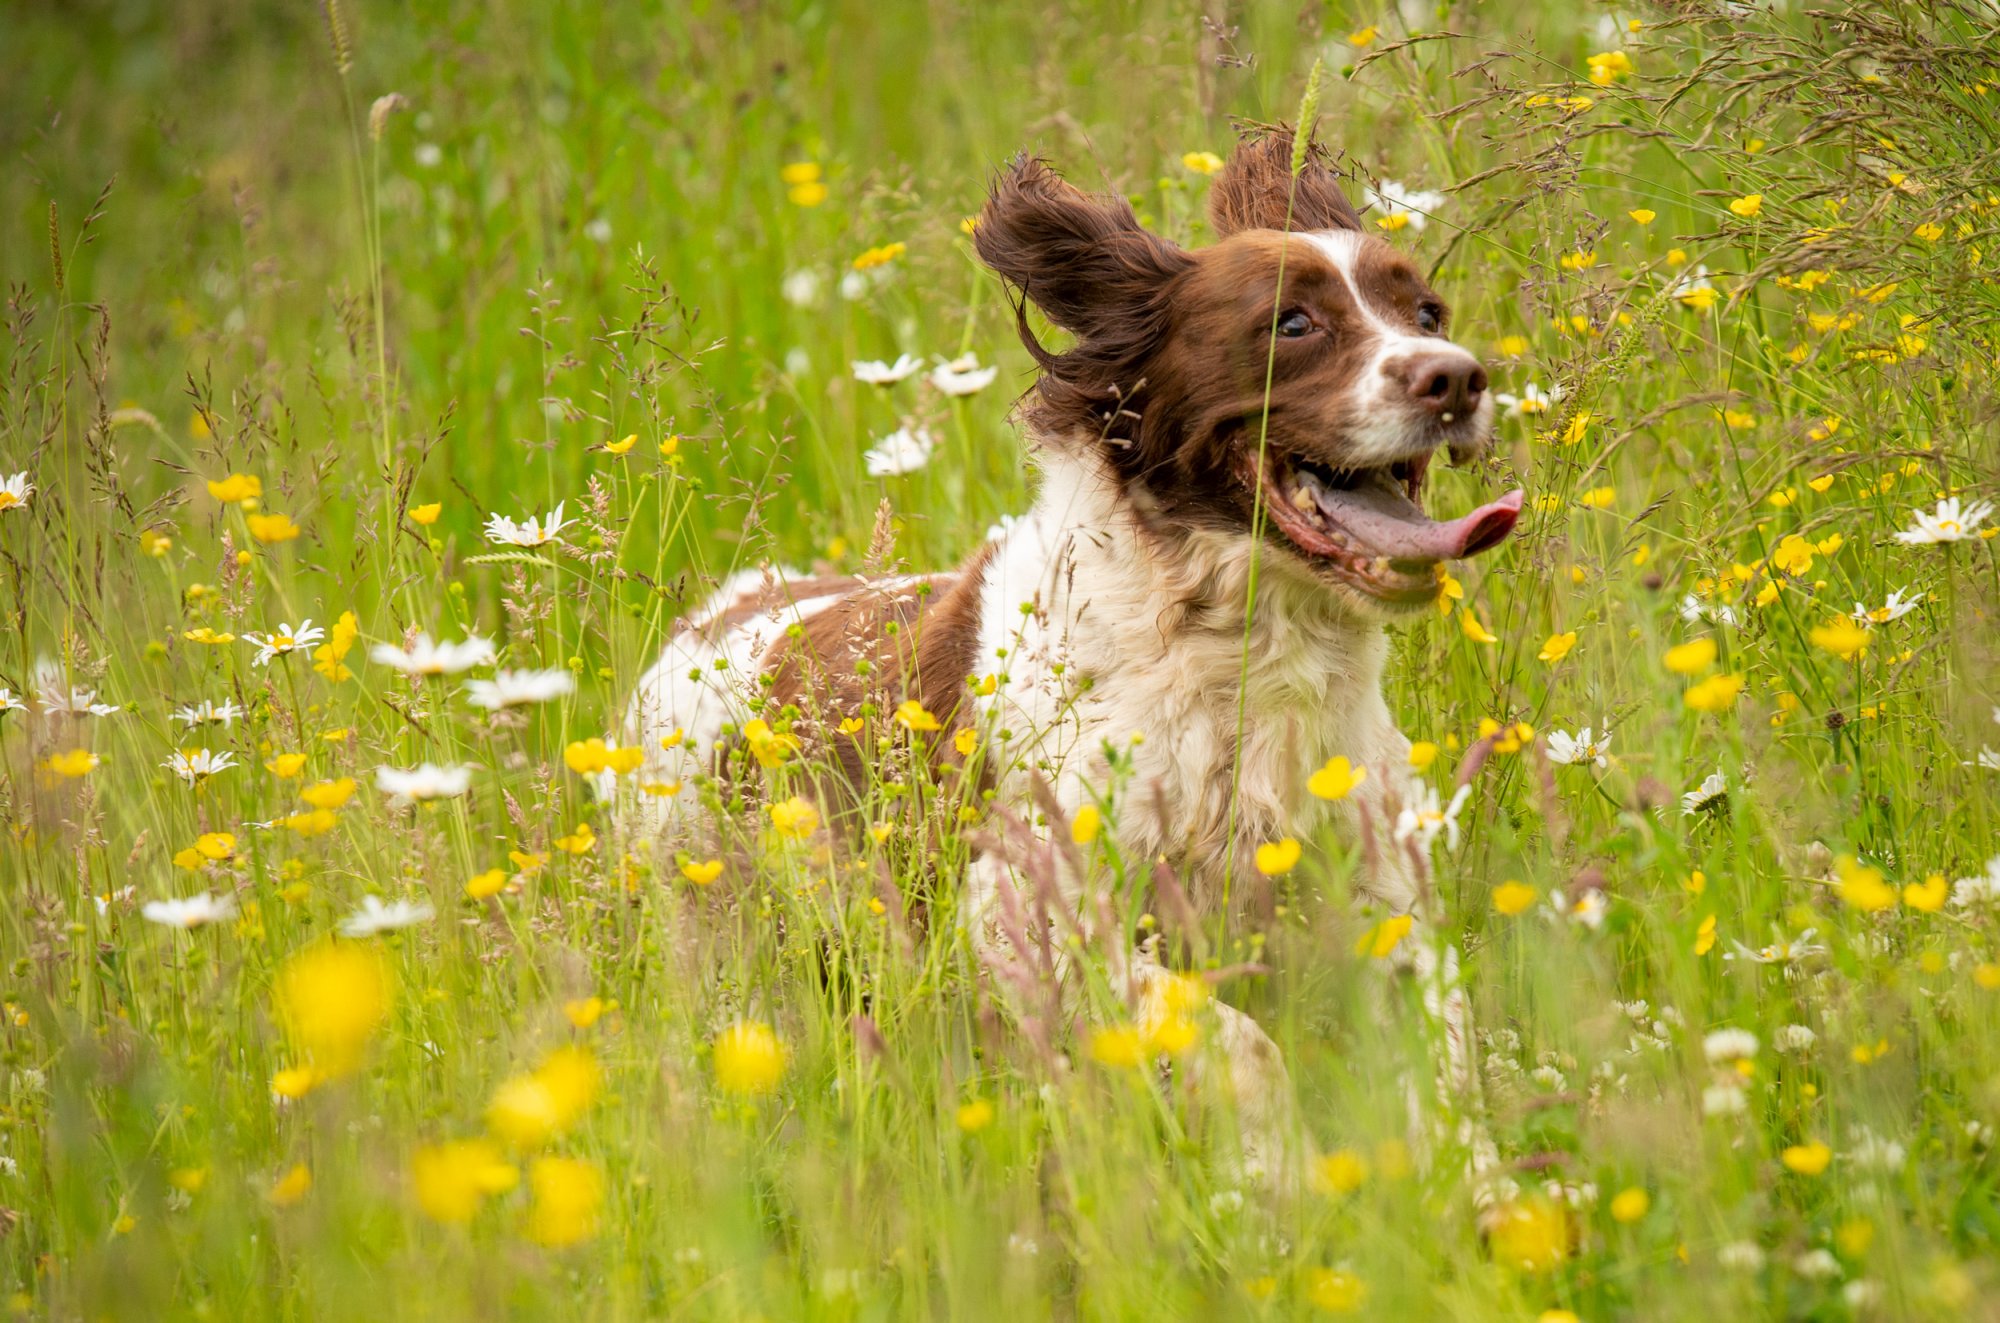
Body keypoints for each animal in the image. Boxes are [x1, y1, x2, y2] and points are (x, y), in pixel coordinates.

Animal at [620, 131, 1512, 1191]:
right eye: (1292, 324)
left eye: (1428, 313)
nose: (1457, 379)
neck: (1238, 659)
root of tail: (719, 615)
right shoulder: (1028, 909)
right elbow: (1236, 1040)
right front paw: (1276, 1178)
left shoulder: (1381, 895)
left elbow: (1447, 1050)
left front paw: (1498, 1197)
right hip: (715, 937)